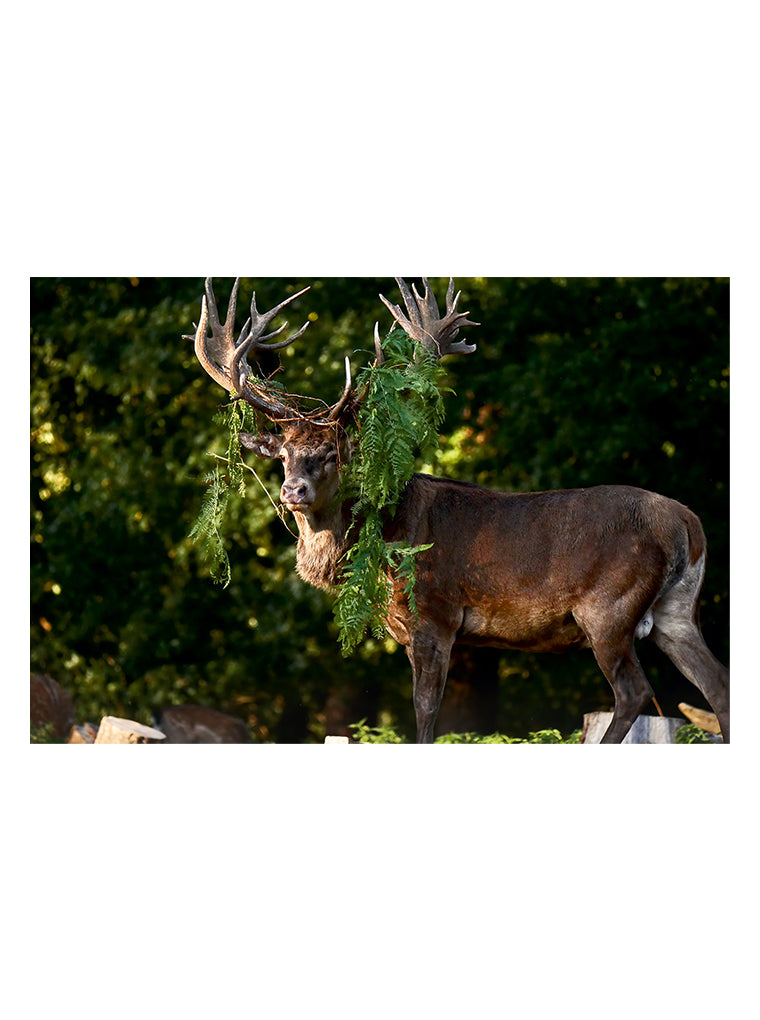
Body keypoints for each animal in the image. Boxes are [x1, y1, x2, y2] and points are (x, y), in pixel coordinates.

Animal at [185, 277, 730, 744]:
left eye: (333, 454)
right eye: (283, 454)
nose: (293, 490)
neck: (384, 544)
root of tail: (689, 524)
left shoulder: (436, 612)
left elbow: (426, 713)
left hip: (609, 605)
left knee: (634, 692)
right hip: (676, 609)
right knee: (718, 686)